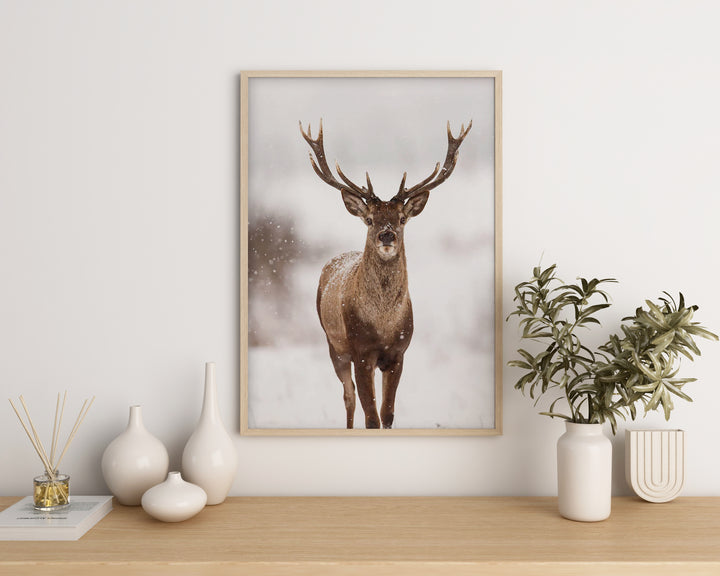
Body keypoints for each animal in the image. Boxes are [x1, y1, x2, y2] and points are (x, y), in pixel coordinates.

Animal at [299, 119, 472, 429]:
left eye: (402, 219)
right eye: (369, 220)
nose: (387, 235)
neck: (383, 324)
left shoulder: (398, 353)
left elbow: (387, 414)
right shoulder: (361, 352)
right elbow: (371, 417)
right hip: (333, 344)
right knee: (348, 396)